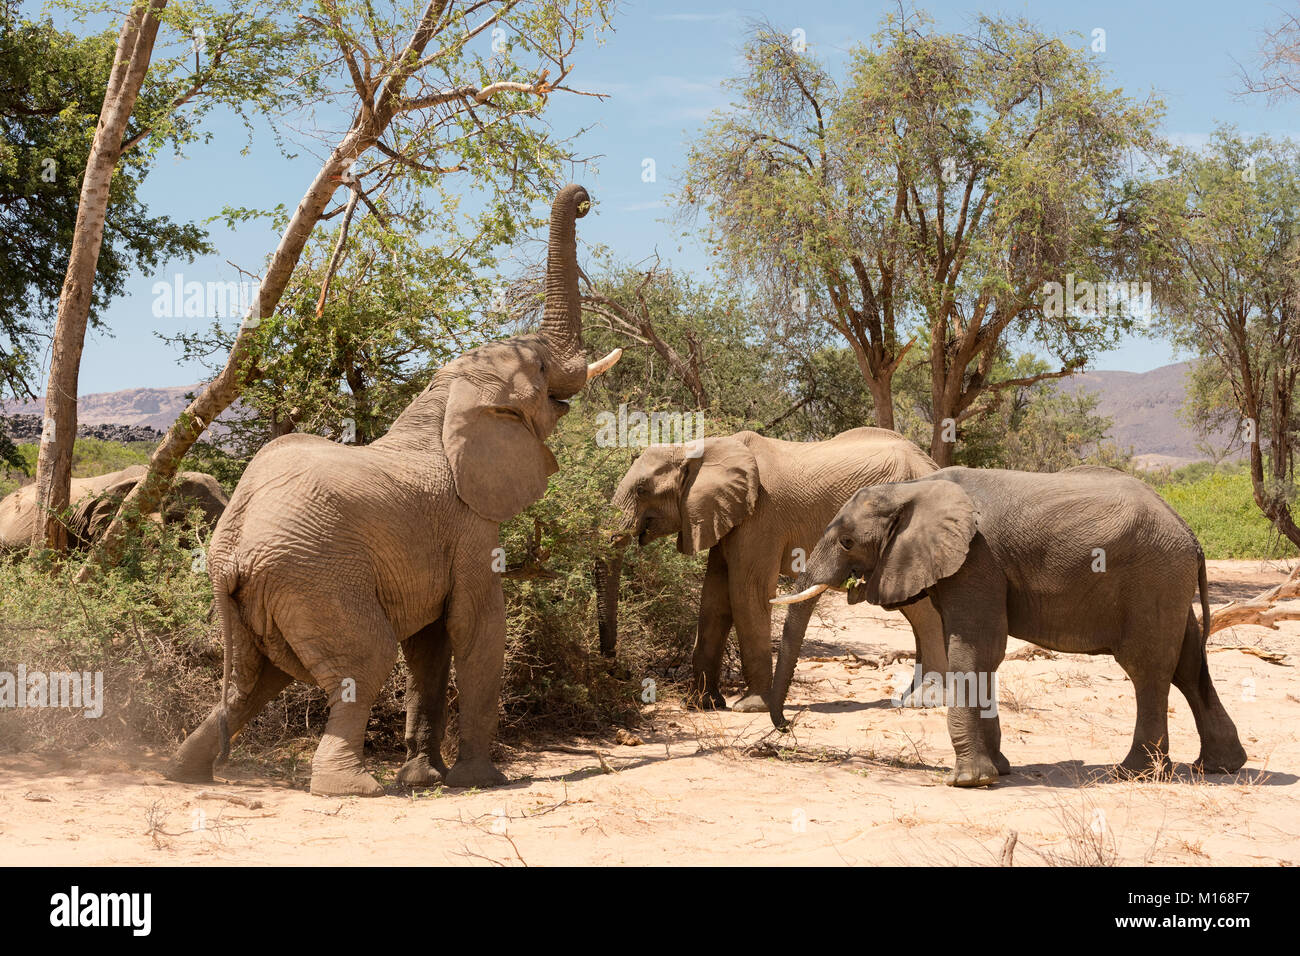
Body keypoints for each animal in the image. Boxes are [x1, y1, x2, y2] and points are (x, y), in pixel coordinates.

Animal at [165, 183, 621, 796]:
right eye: (543, 370)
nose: (585, 199)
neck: (443, 401)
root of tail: (230, 552)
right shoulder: (469, 525)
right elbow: (476, 628)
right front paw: (480, 781)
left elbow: (430, 645)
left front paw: (424, 776)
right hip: (315, 576)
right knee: (363, 661)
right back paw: (352, 787)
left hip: (261, 599)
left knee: (251, 684)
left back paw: (184, 773)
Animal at [613, 429, 951, 712]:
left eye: (642, 490)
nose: (619, 670)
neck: (697, 448)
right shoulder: (726, 516)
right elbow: (714, 600)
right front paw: (701, 705)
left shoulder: (760, 516)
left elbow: (746, 593)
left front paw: (750, 707)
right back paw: (915, 698)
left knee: (921, 610)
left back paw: (927, 700)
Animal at [769, 468, 1248, 790]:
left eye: (848, 542)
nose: (785, 728)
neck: (912, 489)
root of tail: (1190, 532)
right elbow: (978, 654)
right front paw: (998, 770)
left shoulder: (977, 559)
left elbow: (975, 648)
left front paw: (969, 781)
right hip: (1168, 583)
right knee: (1188, 664)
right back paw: (1220, 767)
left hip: (1153, 578)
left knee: (1147, 668)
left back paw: (1133, 774)